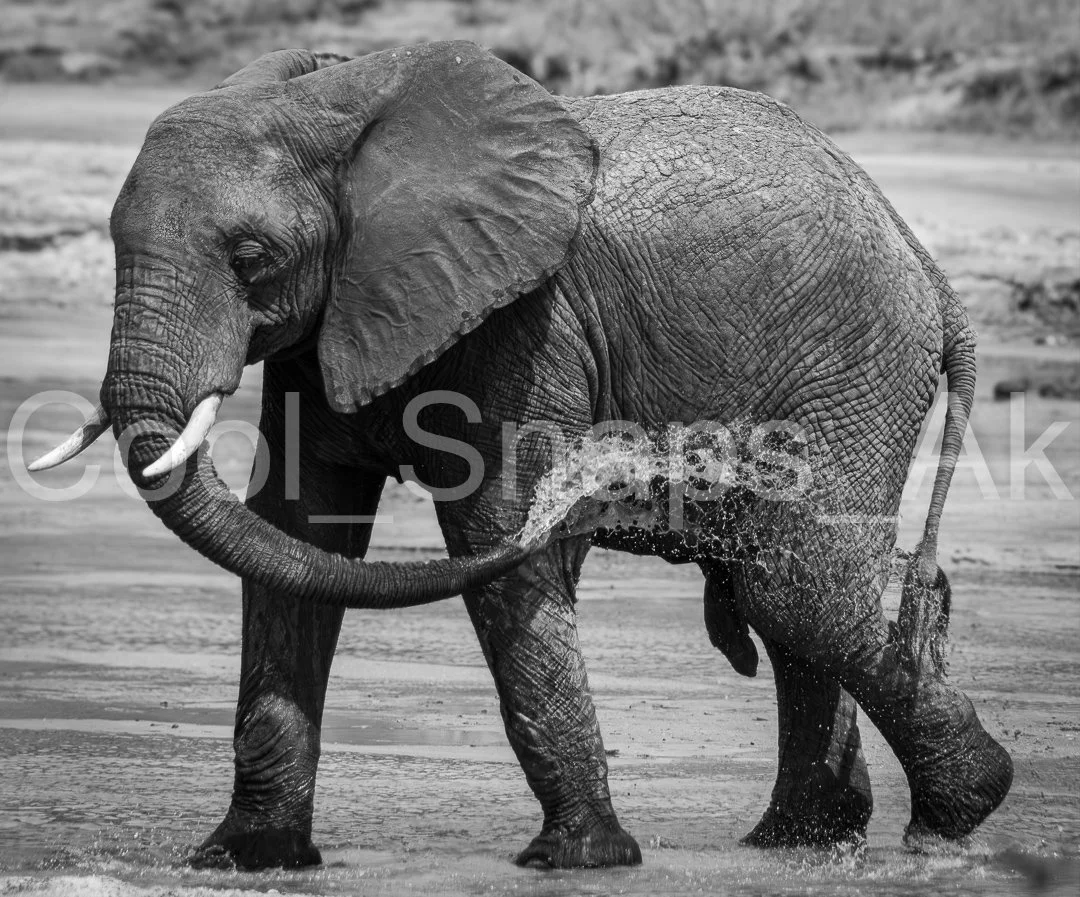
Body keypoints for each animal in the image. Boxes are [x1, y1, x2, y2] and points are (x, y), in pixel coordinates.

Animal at [32, 40, 1012, 870]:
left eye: (250, 256)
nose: (626, 467)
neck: (332, 104)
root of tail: (928, 270)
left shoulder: (526, 322)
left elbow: (493, 530)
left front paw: (578, 860)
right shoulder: (328, 326)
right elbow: (298, 535)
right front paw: (243, 860)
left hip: (852, 368)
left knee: (793, 584)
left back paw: (957, 812)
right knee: (792, 597)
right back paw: (799, 843)